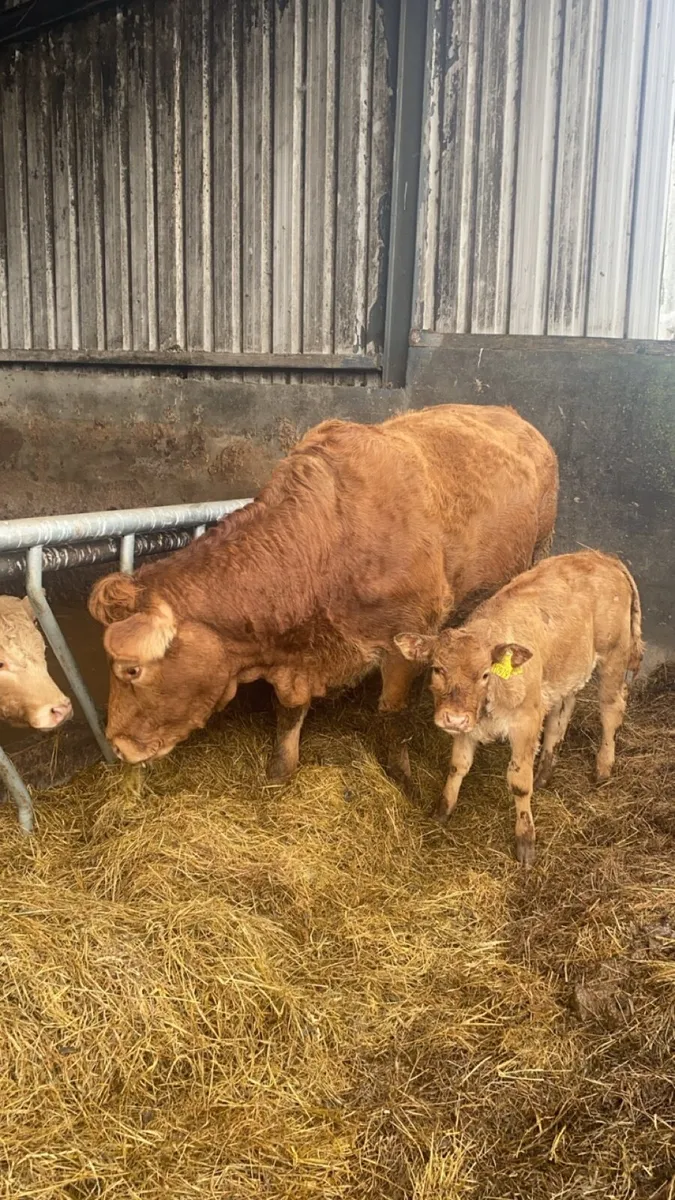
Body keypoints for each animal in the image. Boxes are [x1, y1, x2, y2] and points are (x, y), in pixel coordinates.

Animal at [88, 404, 559, 779]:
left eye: (132, 670)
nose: (118, 745)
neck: (325, 546)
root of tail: (513, 416)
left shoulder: (404, 642)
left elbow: (392, 715)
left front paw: (400, 775)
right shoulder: (294, 663)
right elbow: (288, 714)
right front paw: (280, 771)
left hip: (537, 550)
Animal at [395, 550, 643, 865]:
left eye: (484, 674)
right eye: (438, 669)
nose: (453, 718)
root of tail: (601, 555)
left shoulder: (525, 723)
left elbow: (519, 782)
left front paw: (526, 841)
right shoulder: (470, 726)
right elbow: (457, 766)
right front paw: (442, 812)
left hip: (614, 657)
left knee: (611, 709)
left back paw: (603, 768)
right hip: (566, 672)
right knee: (562, 713)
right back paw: (546, 771)